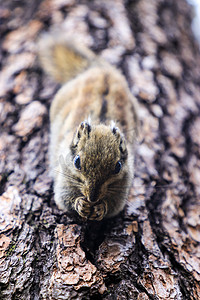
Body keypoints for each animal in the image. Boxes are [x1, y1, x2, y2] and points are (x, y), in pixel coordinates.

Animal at [38, 32, 139, 220]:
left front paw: (100, 208)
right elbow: (63, 198)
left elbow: (113, 206)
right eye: (77, 162)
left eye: (118, 167)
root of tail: (101, 71)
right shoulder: (64, 177)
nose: (92, 198)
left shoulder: (122, 188)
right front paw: (80, 204)